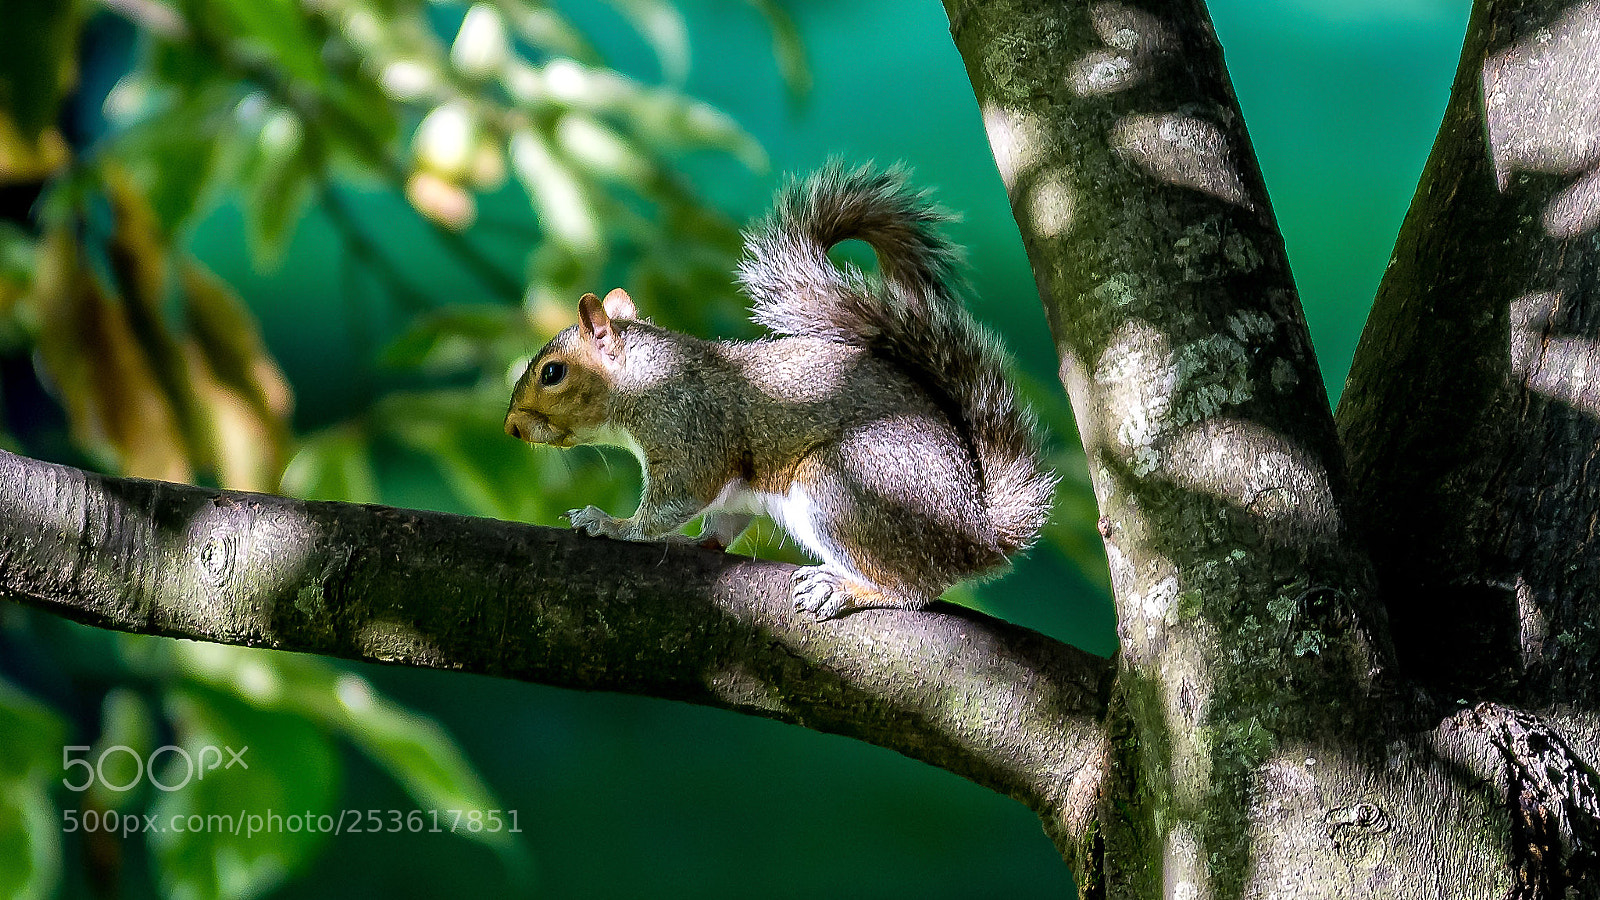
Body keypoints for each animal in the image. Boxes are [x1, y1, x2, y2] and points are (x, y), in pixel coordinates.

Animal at [503, 163, 1055, 619]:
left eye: (552, 373)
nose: (511, 427)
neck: (647, 378)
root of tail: (976, 534)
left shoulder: (690, 431)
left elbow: (672, 502)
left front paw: (611, 524)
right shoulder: (729, 488)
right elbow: (723, 520)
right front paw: (696, 544)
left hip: (843, 486)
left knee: (913, 587)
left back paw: (846, 588)